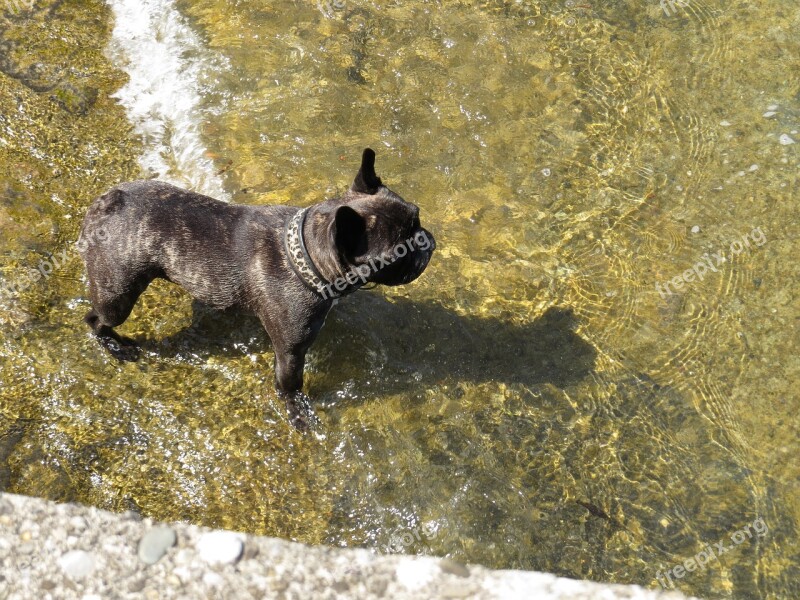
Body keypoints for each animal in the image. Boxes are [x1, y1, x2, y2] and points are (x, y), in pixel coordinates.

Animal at [78, 150, 434, 432]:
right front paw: (298, 412)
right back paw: (116, 347)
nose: (427, 240)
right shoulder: (291, 352)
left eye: (417, 216)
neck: (304, 255)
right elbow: (290, 386)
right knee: (96, 320)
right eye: (397, 252)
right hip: (118, 294)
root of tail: (106, 203)